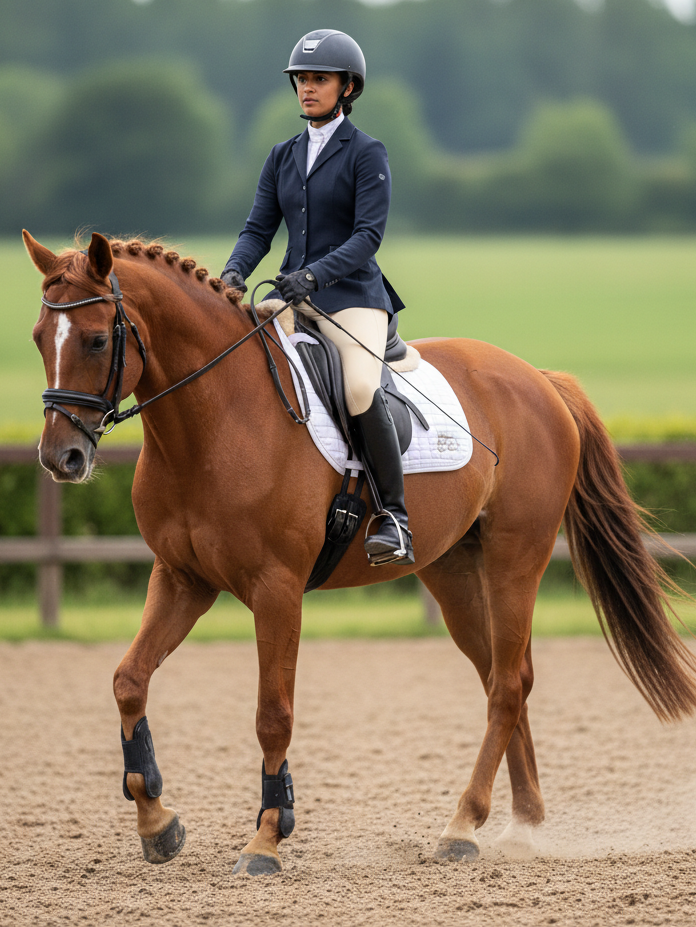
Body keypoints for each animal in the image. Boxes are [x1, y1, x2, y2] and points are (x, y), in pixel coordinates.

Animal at [24, 230, 696, 875]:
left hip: (516, 558)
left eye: (93, 341)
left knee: (507, 684)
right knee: (504, 678)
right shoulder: (182, 578)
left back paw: (461, 827)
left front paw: (267, 839)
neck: (215, 420)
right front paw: (157, 824)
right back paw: (521, 827)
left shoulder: (276, 588)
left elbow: (273, 713)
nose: (62, 458)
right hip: (454, 570)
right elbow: (128, 681)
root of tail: (537, 378)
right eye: (37, 339)